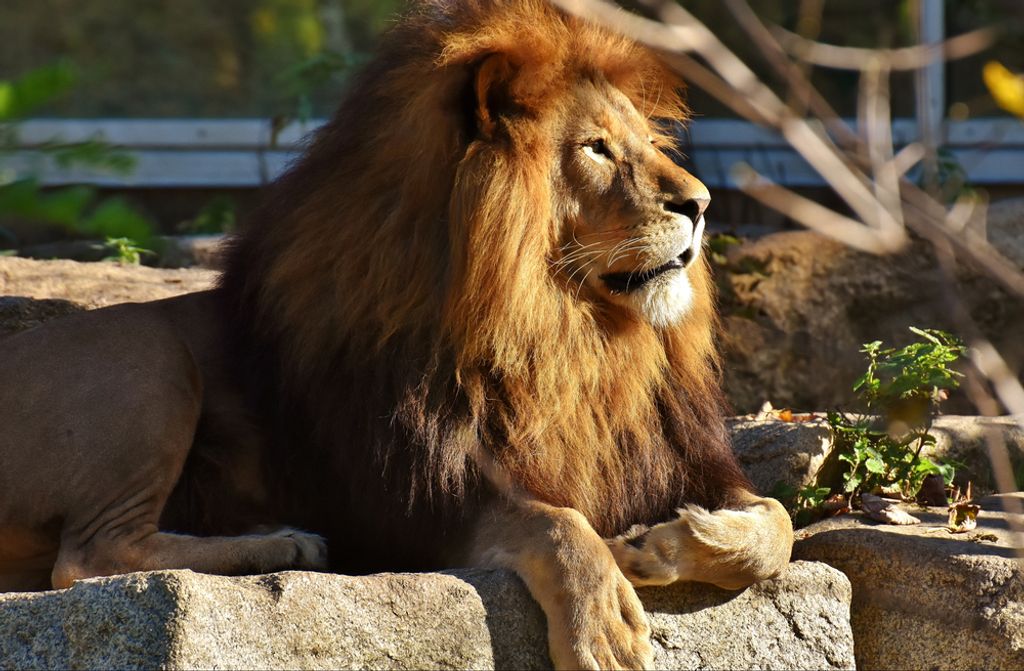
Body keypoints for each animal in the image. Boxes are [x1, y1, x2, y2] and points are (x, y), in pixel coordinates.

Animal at [0, 0, 793, 668]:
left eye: (644, 143)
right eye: (596, 149)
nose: (701, 203)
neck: (563, 335)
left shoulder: (681, 460)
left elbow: (776, 524)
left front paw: (668, 543)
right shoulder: (412, 505)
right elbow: (555, 521)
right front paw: (603, 626)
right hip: (150, 356)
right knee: (88, 556)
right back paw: (284, 543)